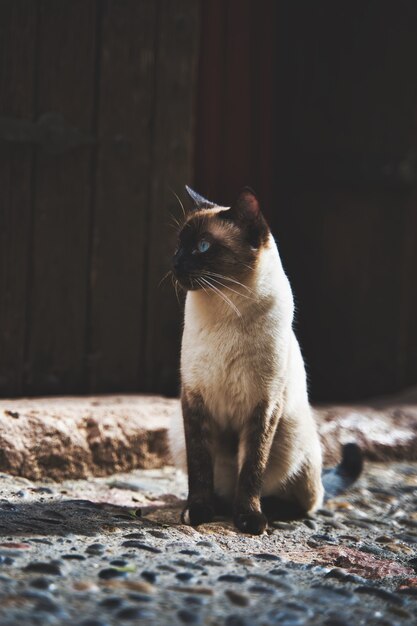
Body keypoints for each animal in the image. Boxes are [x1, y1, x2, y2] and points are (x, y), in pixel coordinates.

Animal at [169, 185, 360, 532]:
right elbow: (200, 468)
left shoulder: (264, 405)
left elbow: (251, 470)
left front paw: (249, 520)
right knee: (222, 485)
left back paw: (265, 511)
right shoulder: (194, 399)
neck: (224, 307)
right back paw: (220, 506)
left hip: (291, 437)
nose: (175, 263)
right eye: (179, 245)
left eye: (202, 247)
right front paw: (198, 512)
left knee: (306, 501)